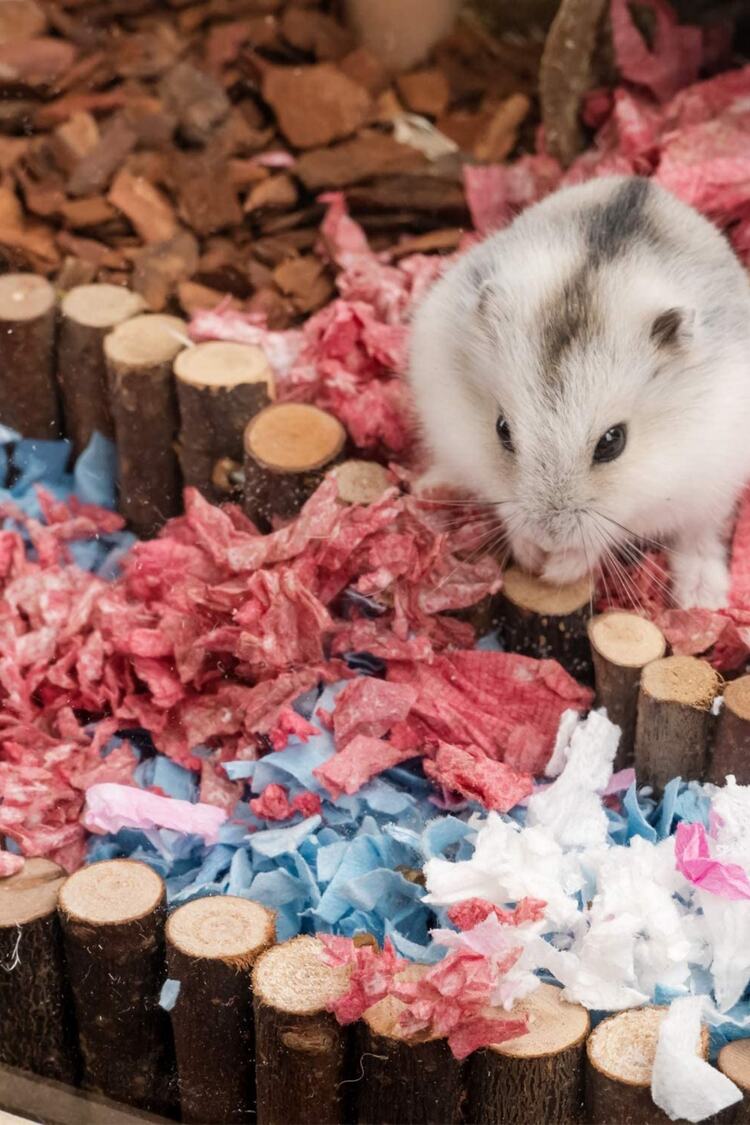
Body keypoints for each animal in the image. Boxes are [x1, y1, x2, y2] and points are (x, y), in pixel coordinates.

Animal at [408, 175, 750, 609]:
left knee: (699, 533)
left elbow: (608, 533)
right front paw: (532, 555)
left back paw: (701, 599)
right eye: (502, 430)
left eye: (612, 441)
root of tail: (641, 181)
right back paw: (429, 487)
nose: (548, 536)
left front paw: (555, 570)